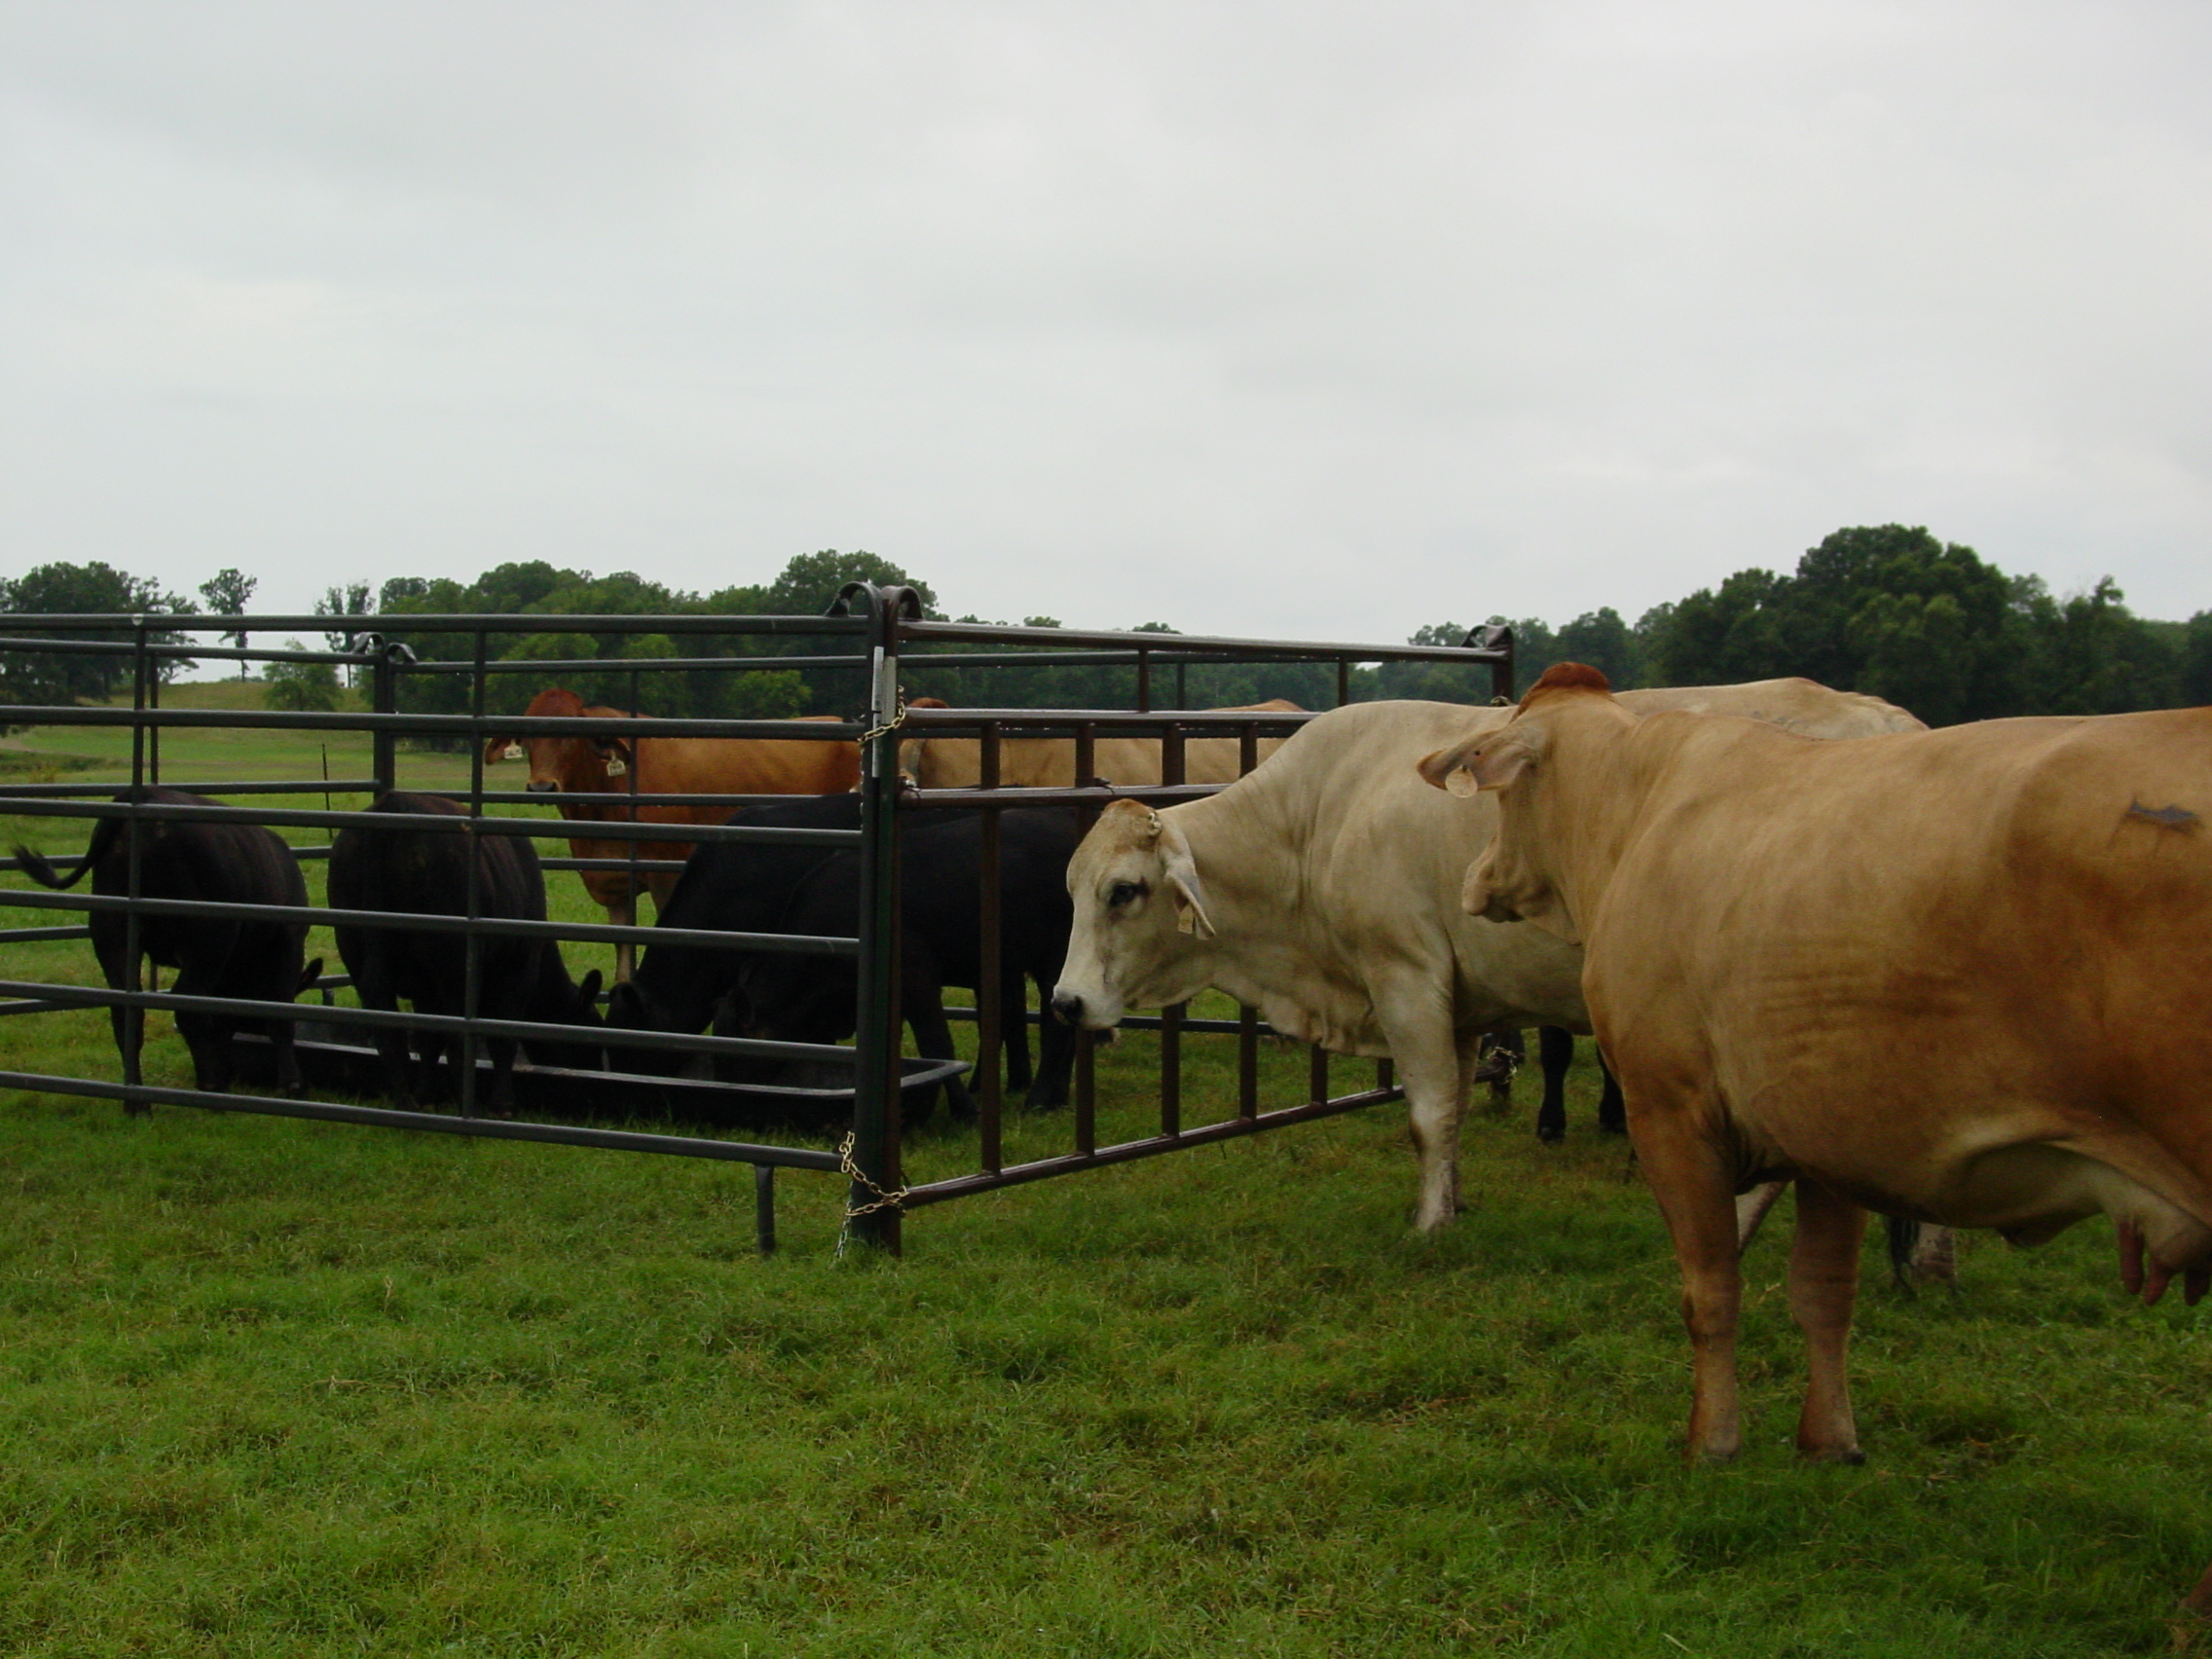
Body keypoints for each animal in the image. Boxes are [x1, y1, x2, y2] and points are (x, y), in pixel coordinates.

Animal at [12, 787, 321, 1096]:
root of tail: (149, 794)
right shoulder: (289, 944)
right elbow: (279, 1015)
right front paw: (292, 1083)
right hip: (208, 939)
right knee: (185, 1004)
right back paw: (210, 1083)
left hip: (111, 933)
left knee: (127, 1014)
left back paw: (139, 1094)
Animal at [328, 792, 604, 1112]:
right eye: (588, 1040)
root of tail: (394, 803)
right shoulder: (518, 967)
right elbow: (503, 1037)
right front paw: (503, 1103)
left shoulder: (425, 989)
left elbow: (428, 1039)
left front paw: (426, 1094)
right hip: (454, 967)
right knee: (457, 1038)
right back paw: (464, 1104)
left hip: (358, 952)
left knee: (390, 1032)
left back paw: (406, 1101)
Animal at [483, 686, 859, 978]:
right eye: (526, 739)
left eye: (572, 738)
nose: (541, 786)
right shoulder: (611, 883)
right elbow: (623, 954)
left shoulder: (665, 873)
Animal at [1049, 681, 1928, 1236]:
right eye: (1073, 890)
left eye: (1123, 891)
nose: (1065, 1004)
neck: (1317, 816)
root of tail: (1886, 719)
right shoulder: (1461, 1004)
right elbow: (1457, 1112)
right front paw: (1457, 1201)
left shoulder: (1404, 977)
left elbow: (1427, 1114)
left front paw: (1430, 1226)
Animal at [1417, 664, 2212, 1612]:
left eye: (1502, 798)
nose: (1474, 879)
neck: (1638, 808)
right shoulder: (1827, 1134)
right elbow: (1826, 1294)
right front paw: (1830, 1440)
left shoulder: (1672, 1113)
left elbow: (1711, 1291)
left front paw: (1712, 1443)